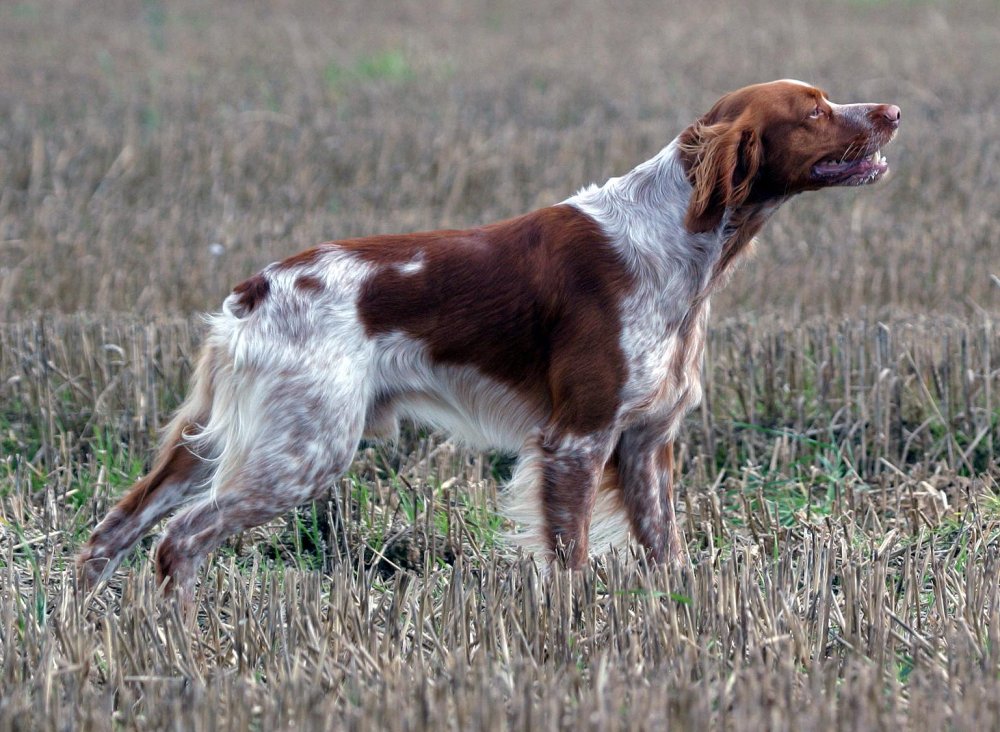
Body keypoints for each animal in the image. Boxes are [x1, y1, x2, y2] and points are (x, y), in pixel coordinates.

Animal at [78, 80, 900, 596]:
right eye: (815, 111)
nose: (891, 110)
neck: (677, 239)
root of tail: (255, 290)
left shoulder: (646, 444)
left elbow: (664, 550)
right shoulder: (576, 439)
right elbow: (569, 559)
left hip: (213, 443)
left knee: (111, 532)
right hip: (301, 451)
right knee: (178, 541)